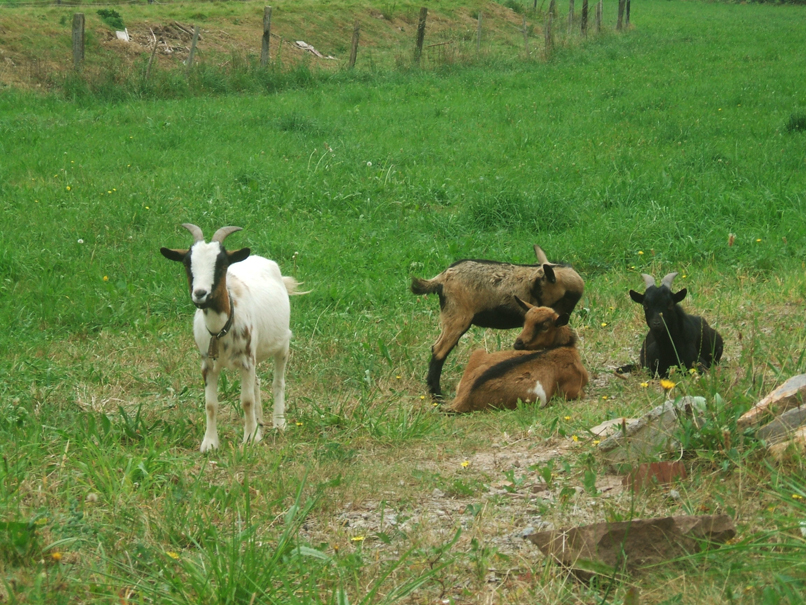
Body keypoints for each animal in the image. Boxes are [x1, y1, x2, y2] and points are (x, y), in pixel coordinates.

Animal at [160, 224, 303, 452]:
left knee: (278, 382)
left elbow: (246, 401)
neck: (220, 331)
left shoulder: (246, 360)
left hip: (282, 343)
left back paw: (279, 423)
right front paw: (210, 443)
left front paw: (250, 439)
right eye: (187, 263)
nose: (200, 294)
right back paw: (260, 424)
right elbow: (211, 404)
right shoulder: (207, 364)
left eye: (222, 264)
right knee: (257, 383)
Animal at [411, 245, 584, 398]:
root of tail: (441, 278)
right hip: (458, 316)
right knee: (439, 350)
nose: (529, 307)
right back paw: (437, 395)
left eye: (538, 287)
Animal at [449, 298, 588, 413]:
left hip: (478, 352)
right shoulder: (573, 390)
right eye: (525, 322)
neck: (564, 347)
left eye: (544, 326)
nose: (518, 343)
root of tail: (462, 400)